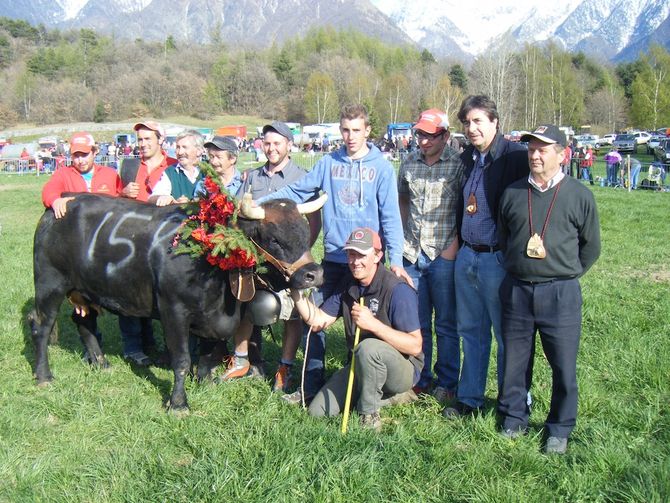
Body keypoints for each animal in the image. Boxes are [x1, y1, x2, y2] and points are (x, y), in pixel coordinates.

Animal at [30, 195, 326, 412]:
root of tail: (55, 210)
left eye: (305, 233)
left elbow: (208, 353)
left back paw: (101, 363)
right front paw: (179, 404)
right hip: (49, 284)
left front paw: (206, 383)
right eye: (274, 239)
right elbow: (182, 359)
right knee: (41, 326)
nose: (314, 274)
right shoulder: (173, 311)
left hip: (87, 290)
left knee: (84, 321)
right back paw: (44, 376)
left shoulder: (212, 319)